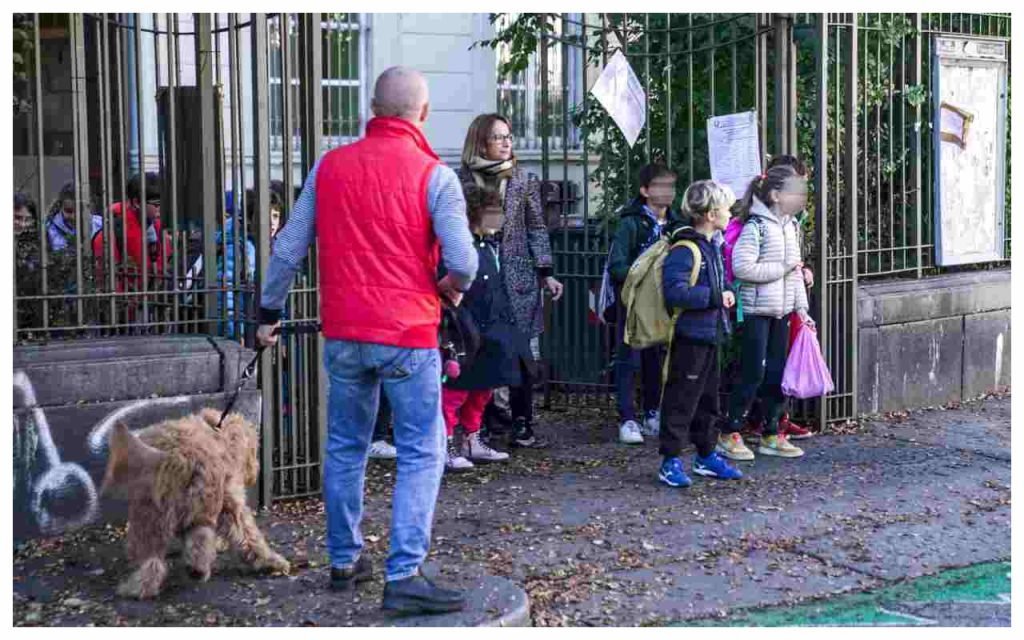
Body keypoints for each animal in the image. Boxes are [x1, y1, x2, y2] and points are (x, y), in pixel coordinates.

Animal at [100, 409, 288, 598]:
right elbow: (246, 534)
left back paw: (138, 588)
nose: (254, 472)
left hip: (154, 518)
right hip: (185, 513)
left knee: (154, 560)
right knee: (196, 543)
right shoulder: (229, 503)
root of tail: (182, 459)